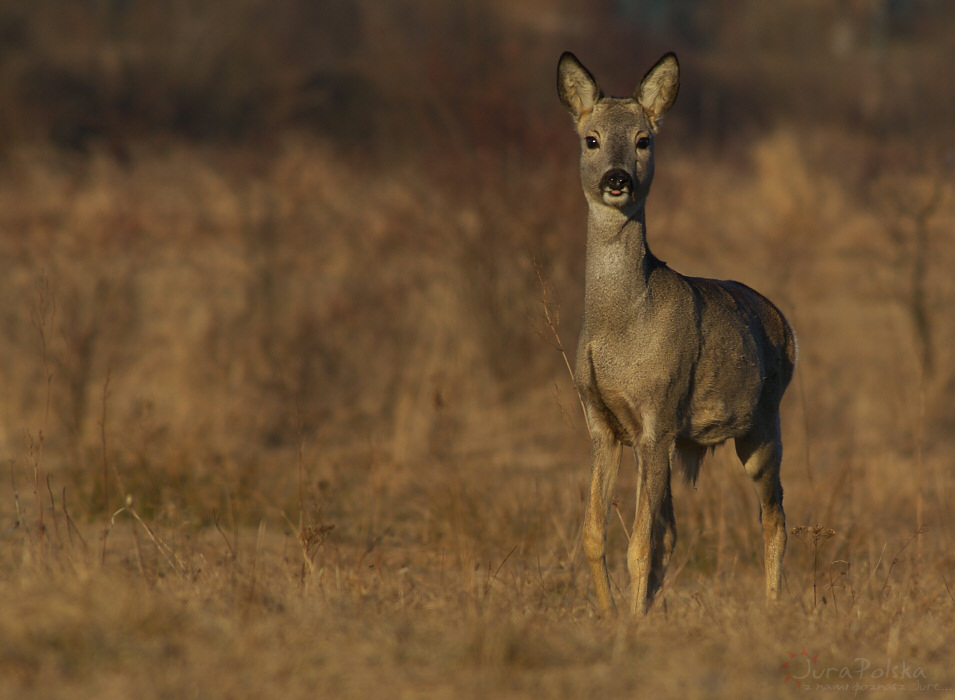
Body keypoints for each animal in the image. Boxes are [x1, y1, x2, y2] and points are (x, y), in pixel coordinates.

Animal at [560, 53, 800, 612]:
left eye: (644, 139)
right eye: (591, 139)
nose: (618, 178)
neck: (622, 324)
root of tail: (786, 326)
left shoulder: (658, 413)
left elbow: (638, 544)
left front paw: (629, 620)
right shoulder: (603, 421)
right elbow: (594, 534)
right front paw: (612, 615)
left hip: (763, 424)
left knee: (776, 517)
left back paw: (772, 607)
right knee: (675, 530)